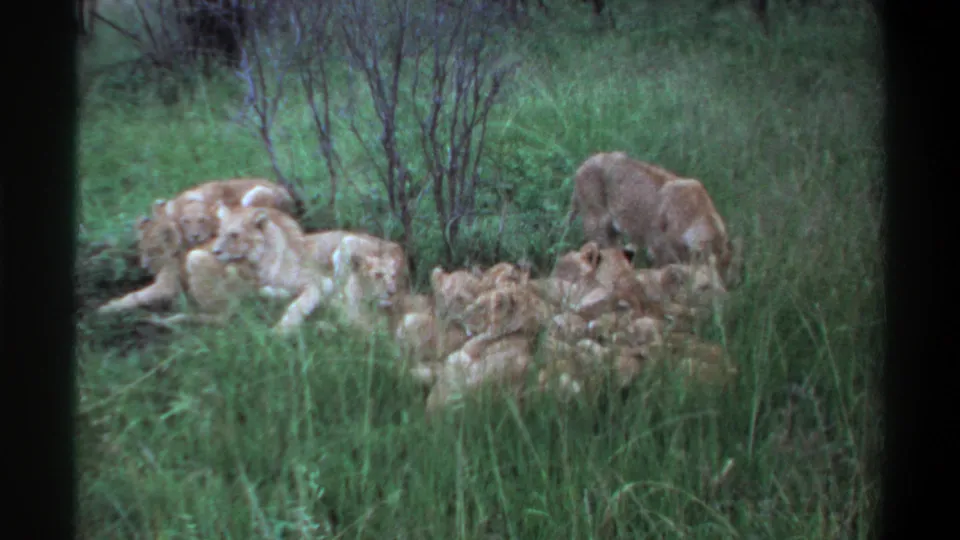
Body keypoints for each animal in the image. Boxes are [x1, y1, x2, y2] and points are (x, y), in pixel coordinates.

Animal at [211, 204, 332, 335]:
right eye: (219, 234)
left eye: (234, 235)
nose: (215, 251)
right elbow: (263, 291)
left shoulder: (316, 281)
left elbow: (299, 305)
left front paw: (282, 330)